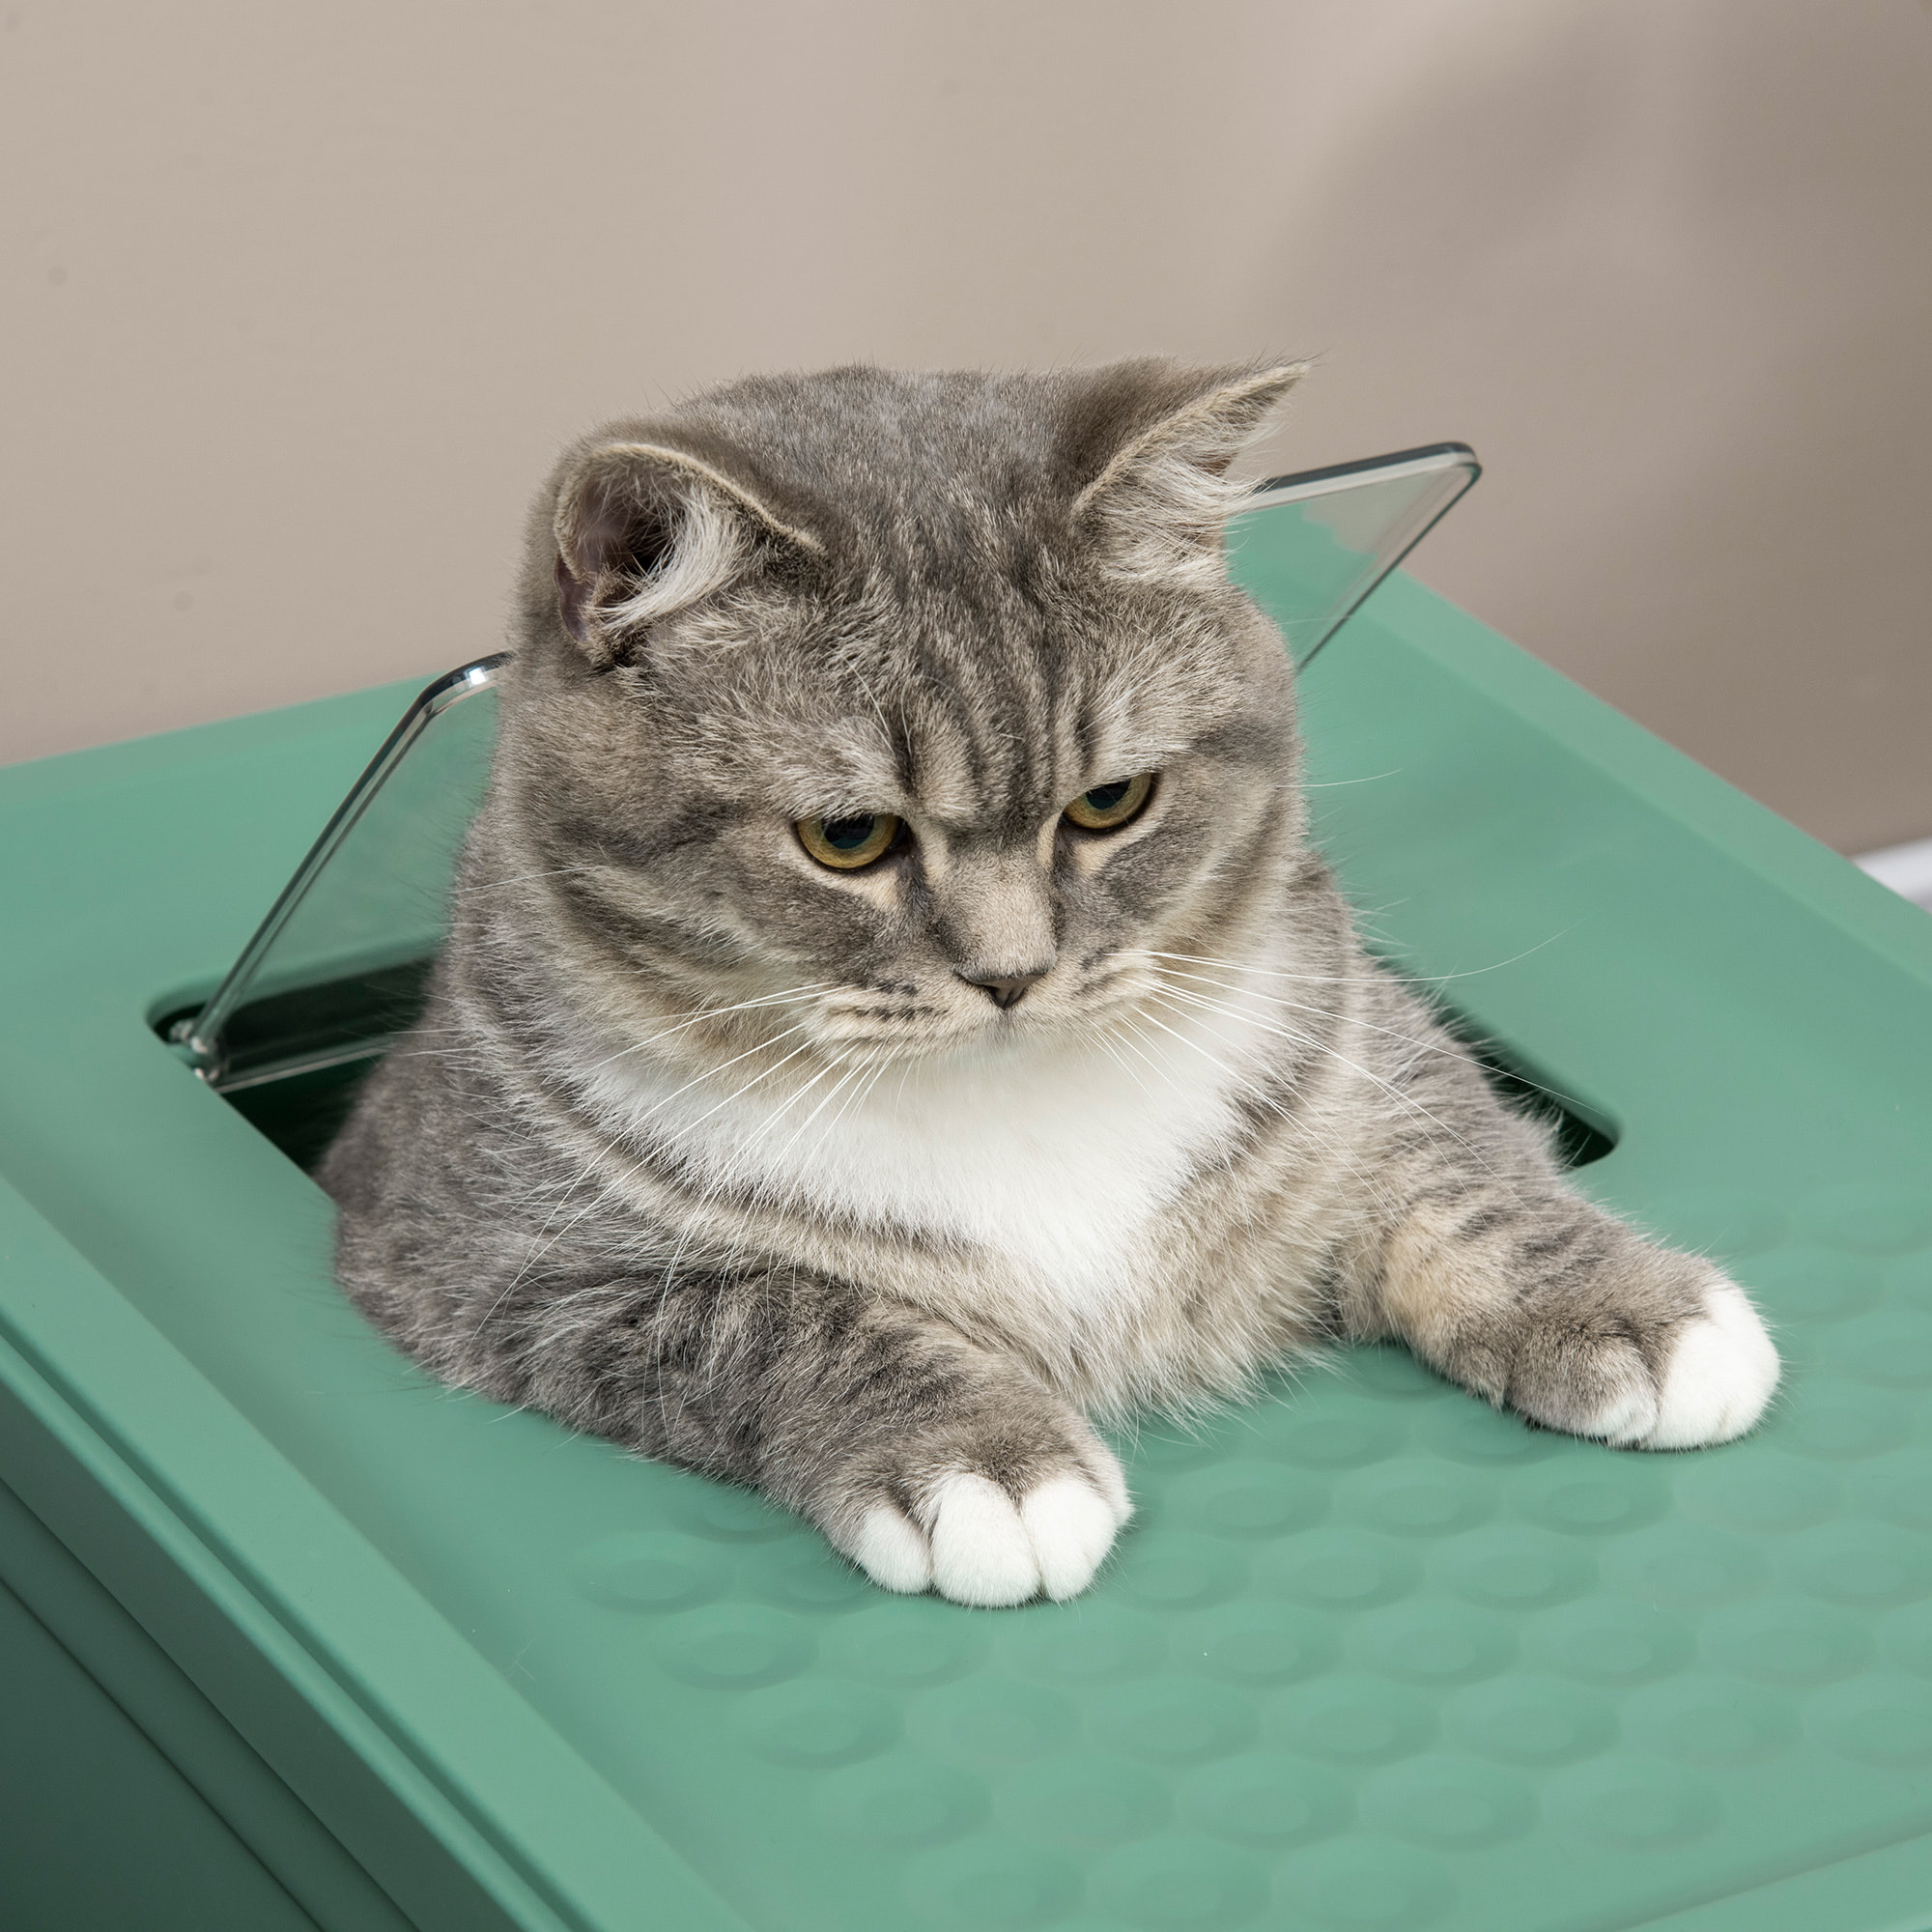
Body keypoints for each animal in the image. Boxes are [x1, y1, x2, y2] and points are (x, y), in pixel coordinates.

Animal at [321, 359, 1777, 1600]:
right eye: (846, 837)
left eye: (1111, 803)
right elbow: (781, 1313)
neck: (1009, 1103)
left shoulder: (1354, 1030)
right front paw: (984, 1463)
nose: (1012, 973)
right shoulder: (491, 1260)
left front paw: (1631, 1311)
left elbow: (1461, 1165)